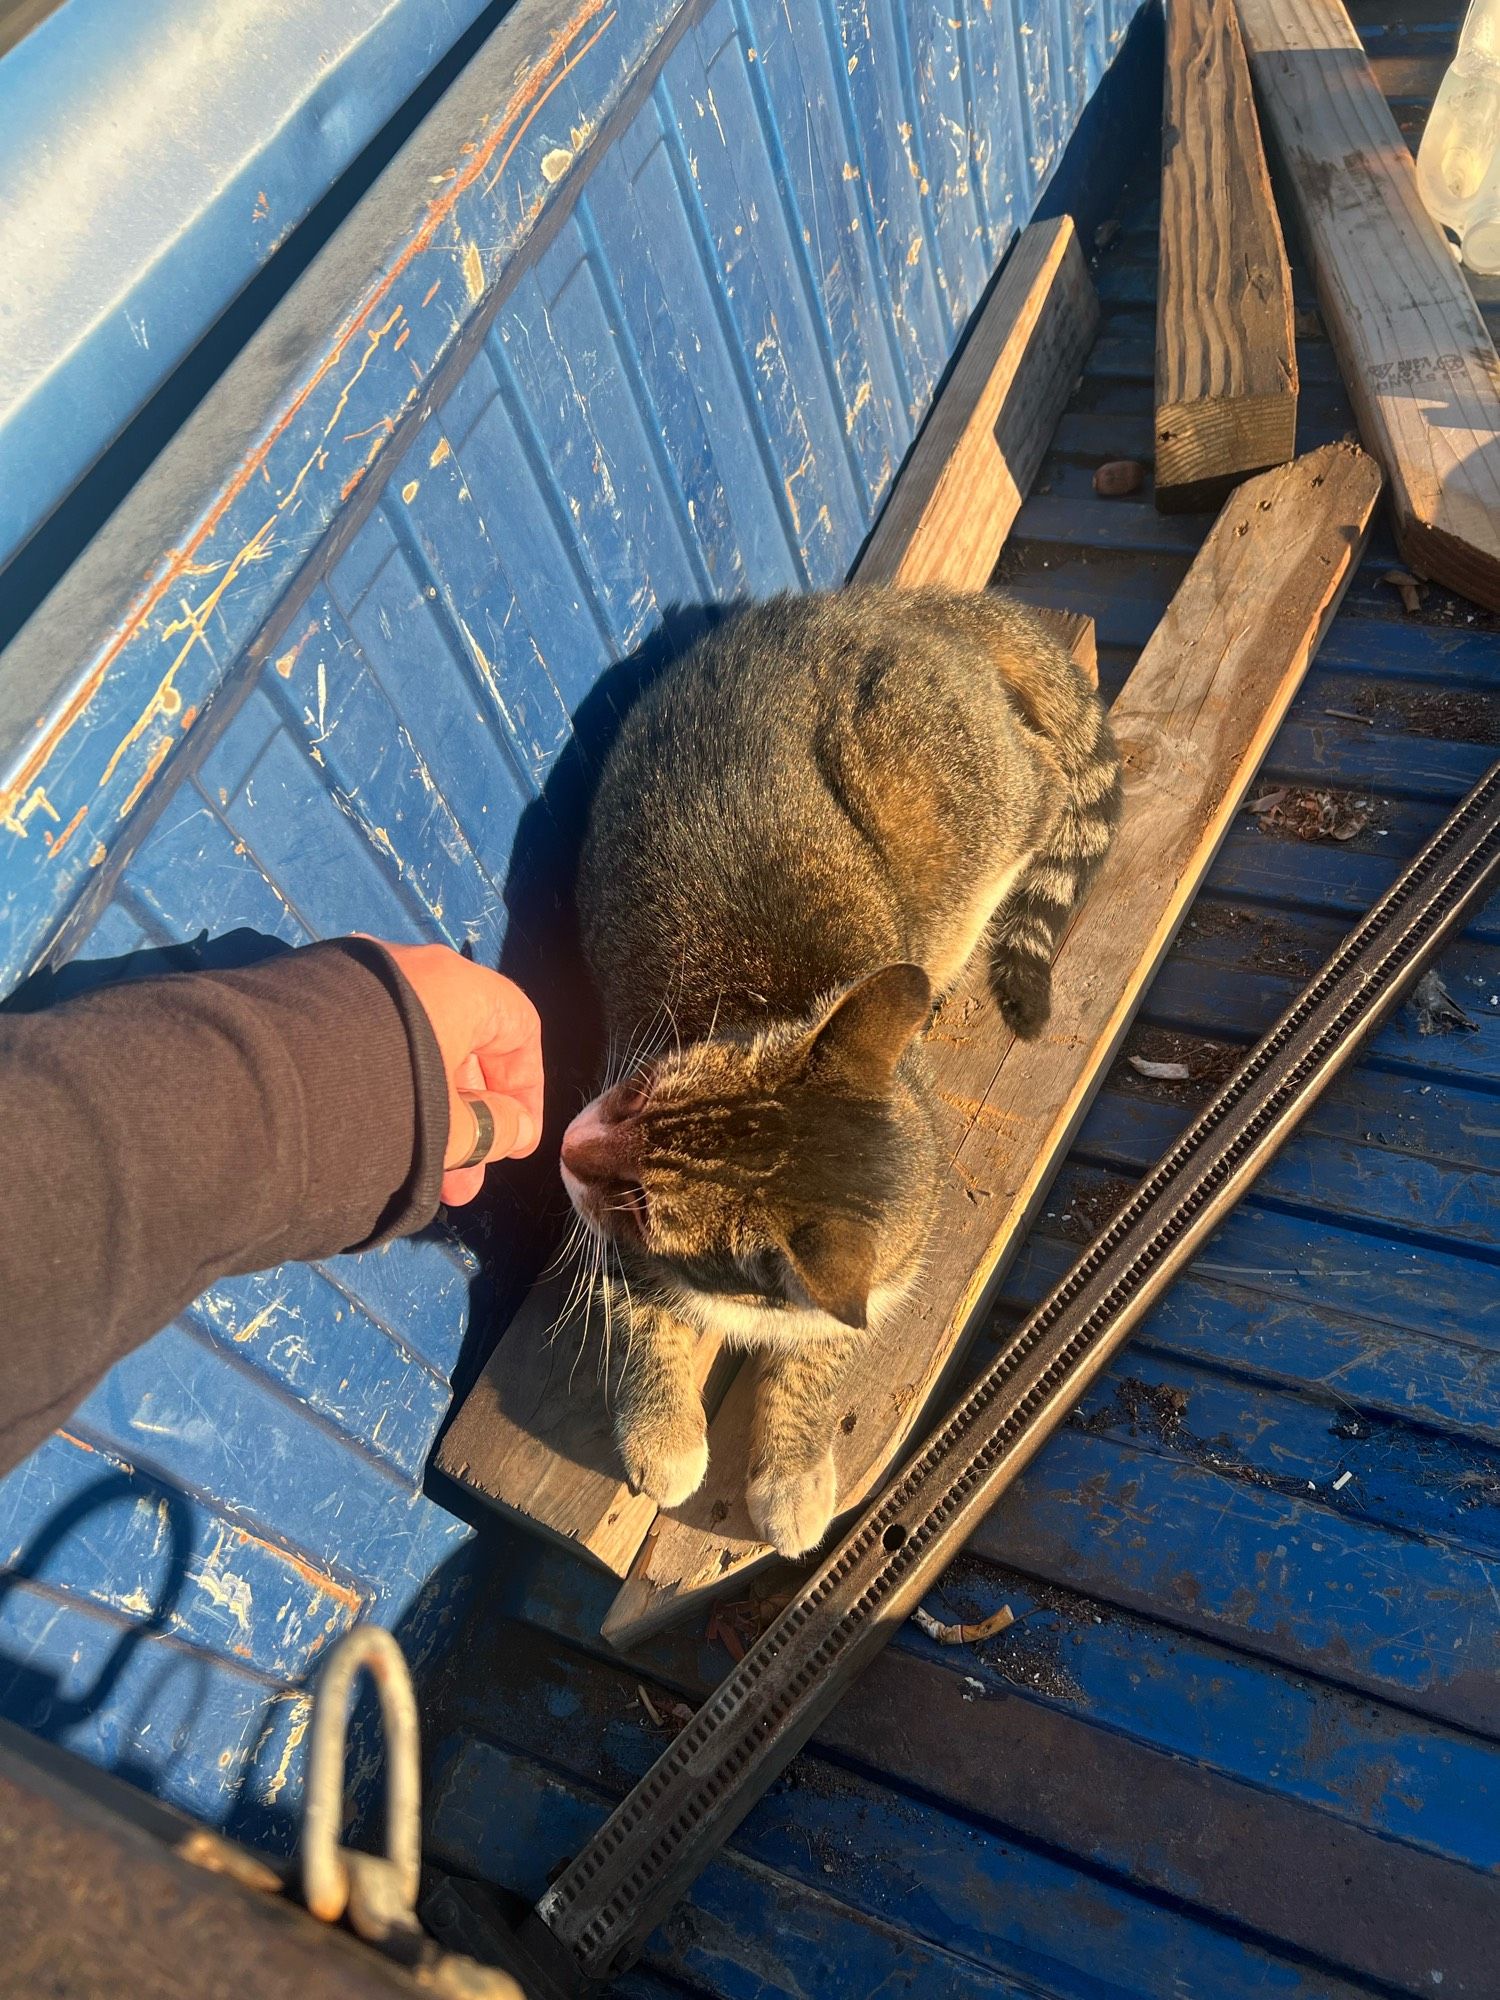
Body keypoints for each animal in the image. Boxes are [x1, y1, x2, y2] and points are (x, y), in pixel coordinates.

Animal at [560, 584, 1120, 1552]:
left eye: (643, 1204)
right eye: (637, 1090)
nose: (567, 1146)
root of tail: (899, 607)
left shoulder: (879, 1280)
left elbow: (820, 1359)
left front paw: (789, 1470)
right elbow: (640, 1320)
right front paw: (662, 1435)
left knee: (1047, 785)